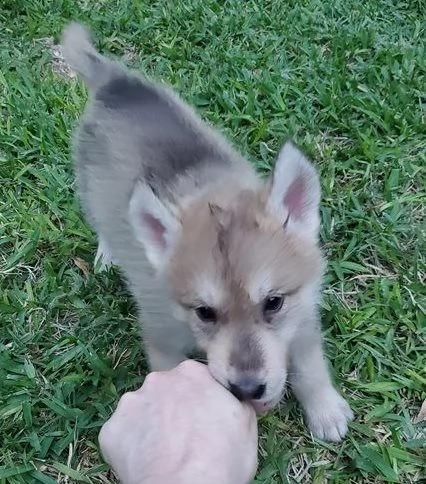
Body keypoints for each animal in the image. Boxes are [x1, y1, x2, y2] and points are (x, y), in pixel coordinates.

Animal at [60, 23, 352, 442]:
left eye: (273, 303)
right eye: (204, 312)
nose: (247, 389)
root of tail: (115, 81)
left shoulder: (303, 312)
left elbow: (311, 365)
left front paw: (325, 410)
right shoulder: (162, 337)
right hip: (89, 189)